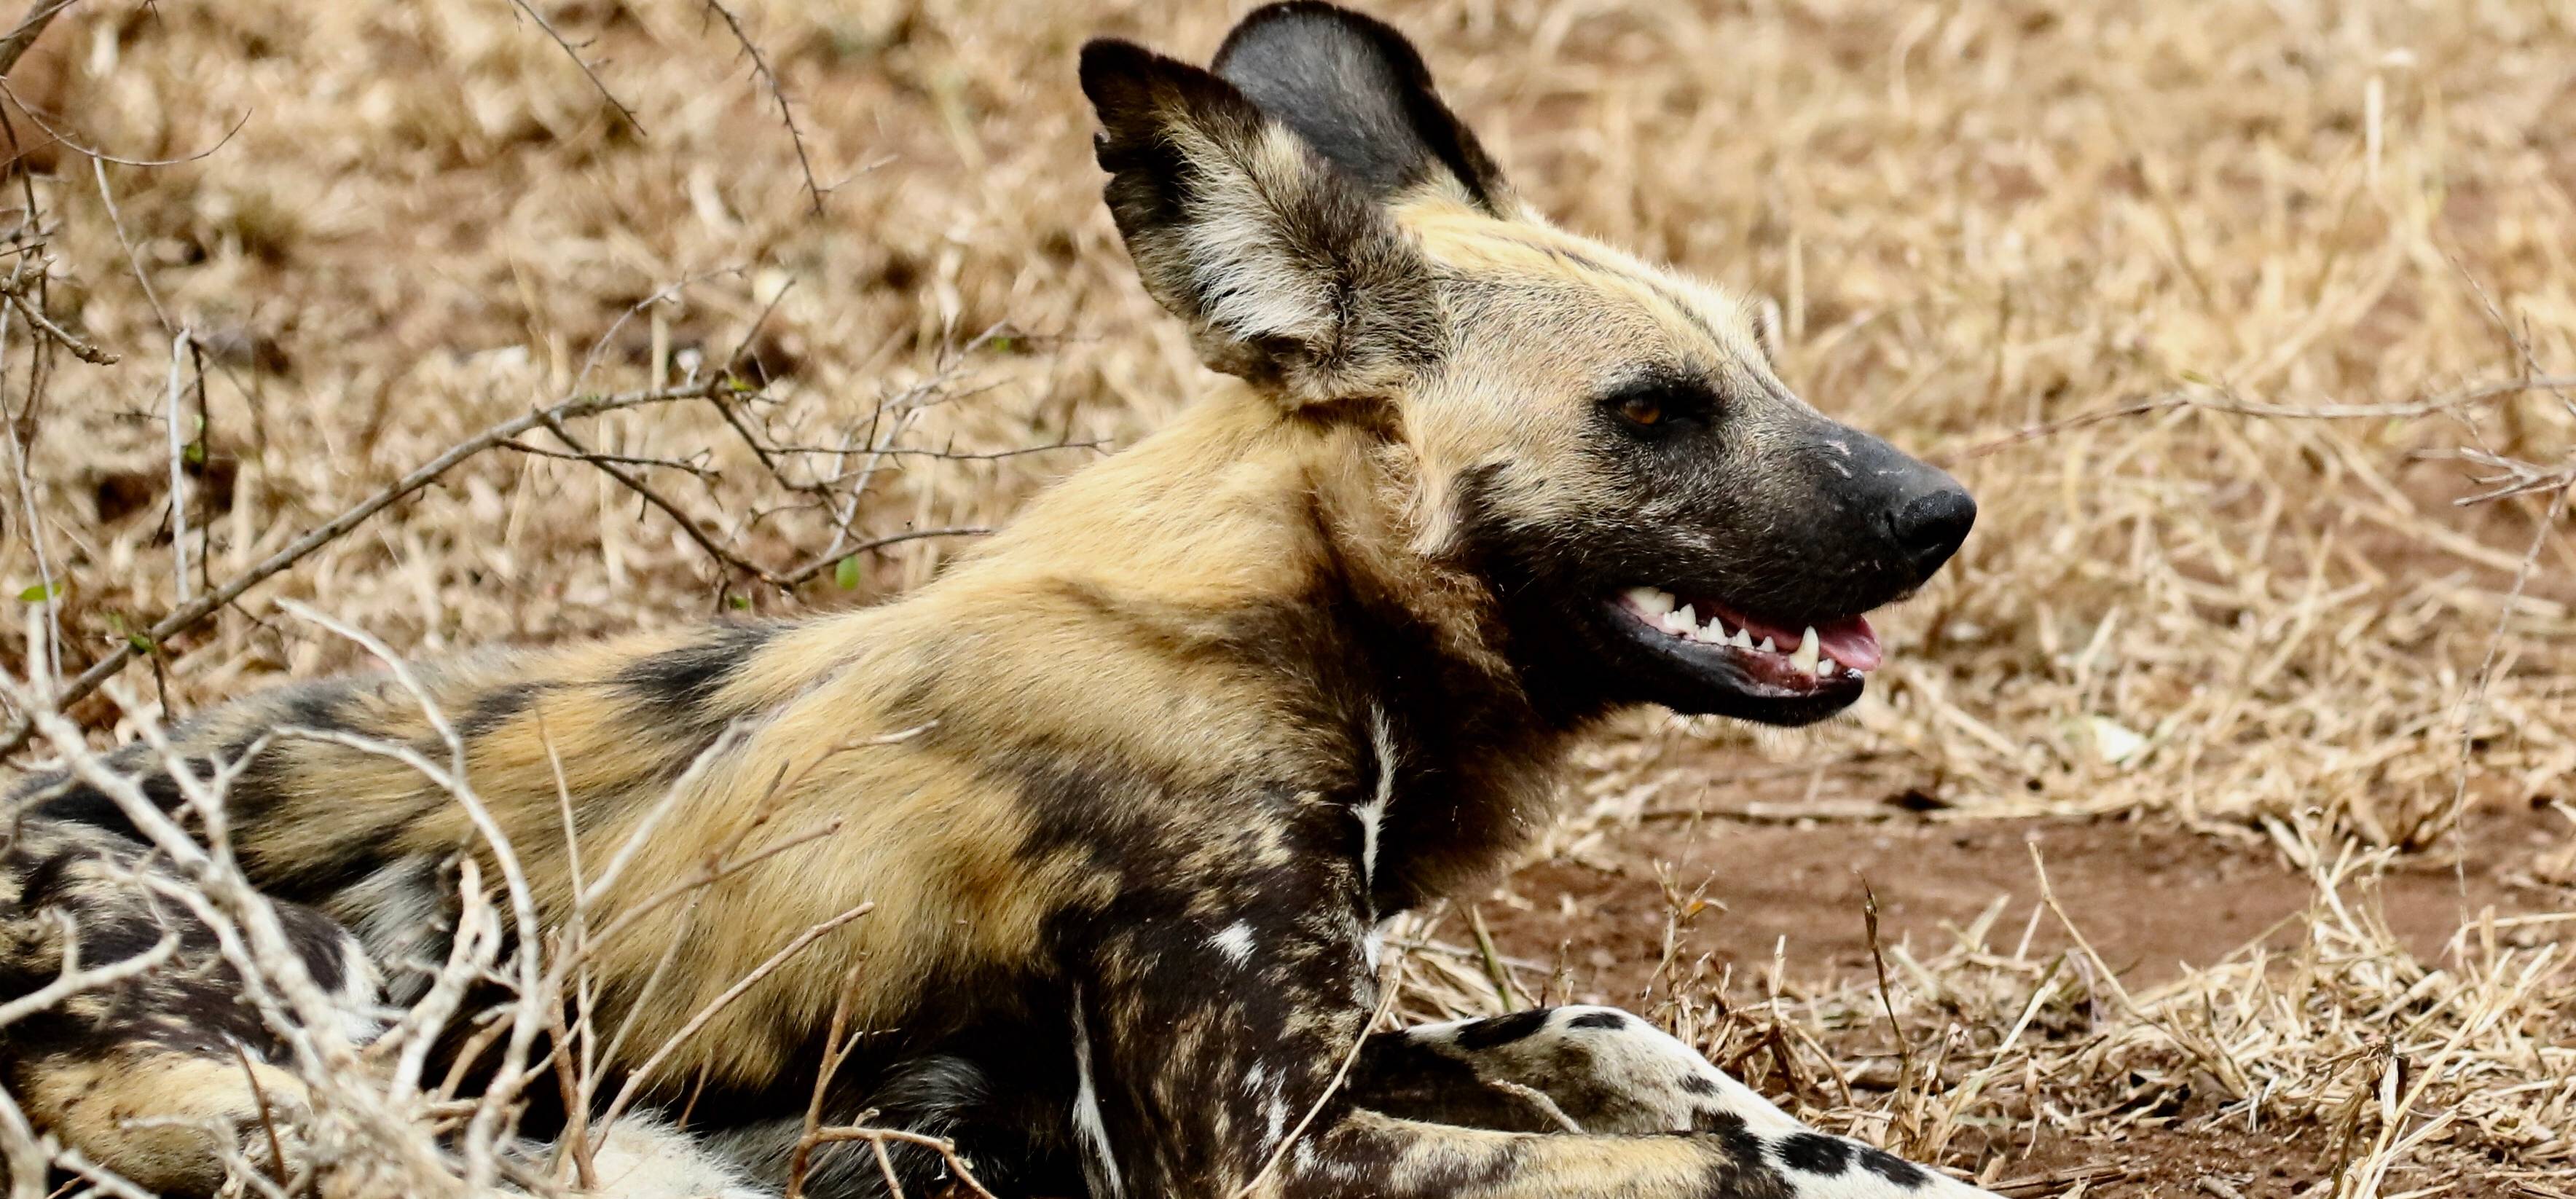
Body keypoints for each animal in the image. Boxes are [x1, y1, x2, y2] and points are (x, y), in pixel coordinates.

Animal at [0, 7, 1988, 1196]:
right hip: (370, 1013)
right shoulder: (1260, 1149)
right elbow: (1710, 1161)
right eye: (1652, 413)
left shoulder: (1356, 1046)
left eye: (1758, 356)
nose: (1940, 509)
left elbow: (1646, 1057)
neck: (1302, 619)